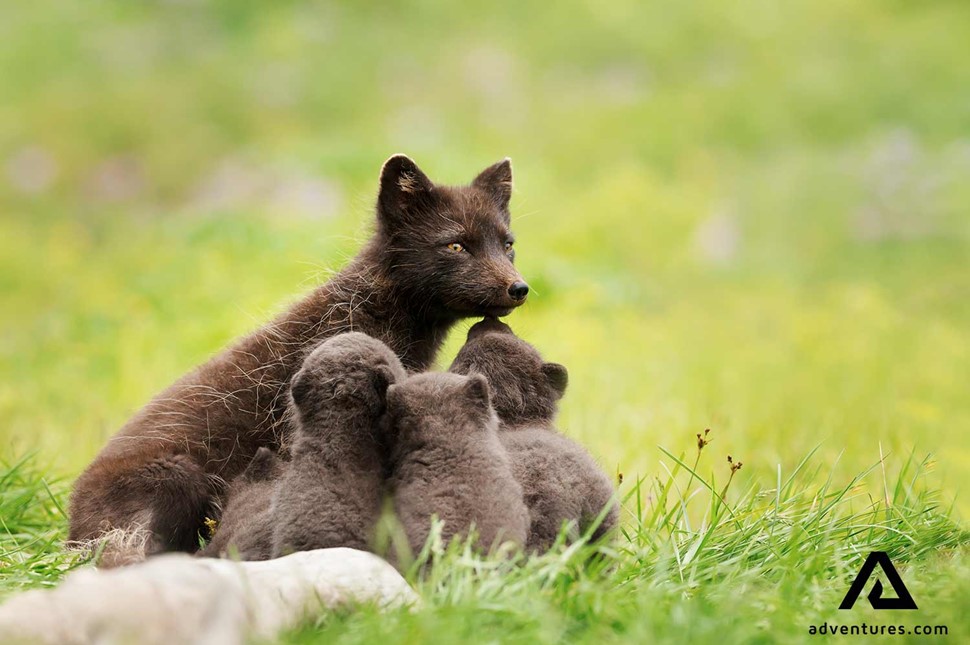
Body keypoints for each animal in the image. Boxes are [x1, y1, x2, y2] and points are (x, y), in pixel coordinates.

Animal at [69, 152, 528, 564]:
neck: (366, 312)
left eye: (508, 244)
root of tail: (72, 523)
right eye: (456, 244)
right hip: (178, 476)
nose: (519, 288)